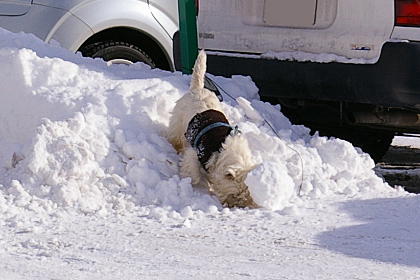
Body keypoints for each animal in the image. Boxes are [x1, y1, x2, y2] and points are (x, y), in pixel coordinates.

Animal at [167, 50, 256, 208]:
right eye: (235, 194)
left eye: (247, 195)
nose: (238, 206)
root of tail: (198, 88)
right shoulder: (195, 153)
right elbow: (193, 173)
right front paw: (193, 183)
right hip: (178, 123)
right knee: (174, 137)